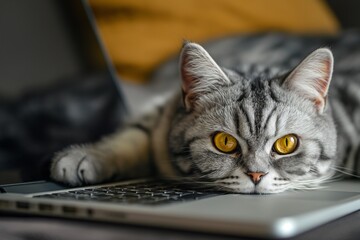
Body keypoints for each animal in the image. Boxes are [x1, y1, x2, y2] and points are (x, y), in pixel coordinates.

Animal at [49, 41, 358, 194]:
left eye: (286, 144)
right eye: (224, 142)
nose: (256, 175)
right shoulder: (162, 115)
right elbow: (134, 136)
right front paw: (87, 156)